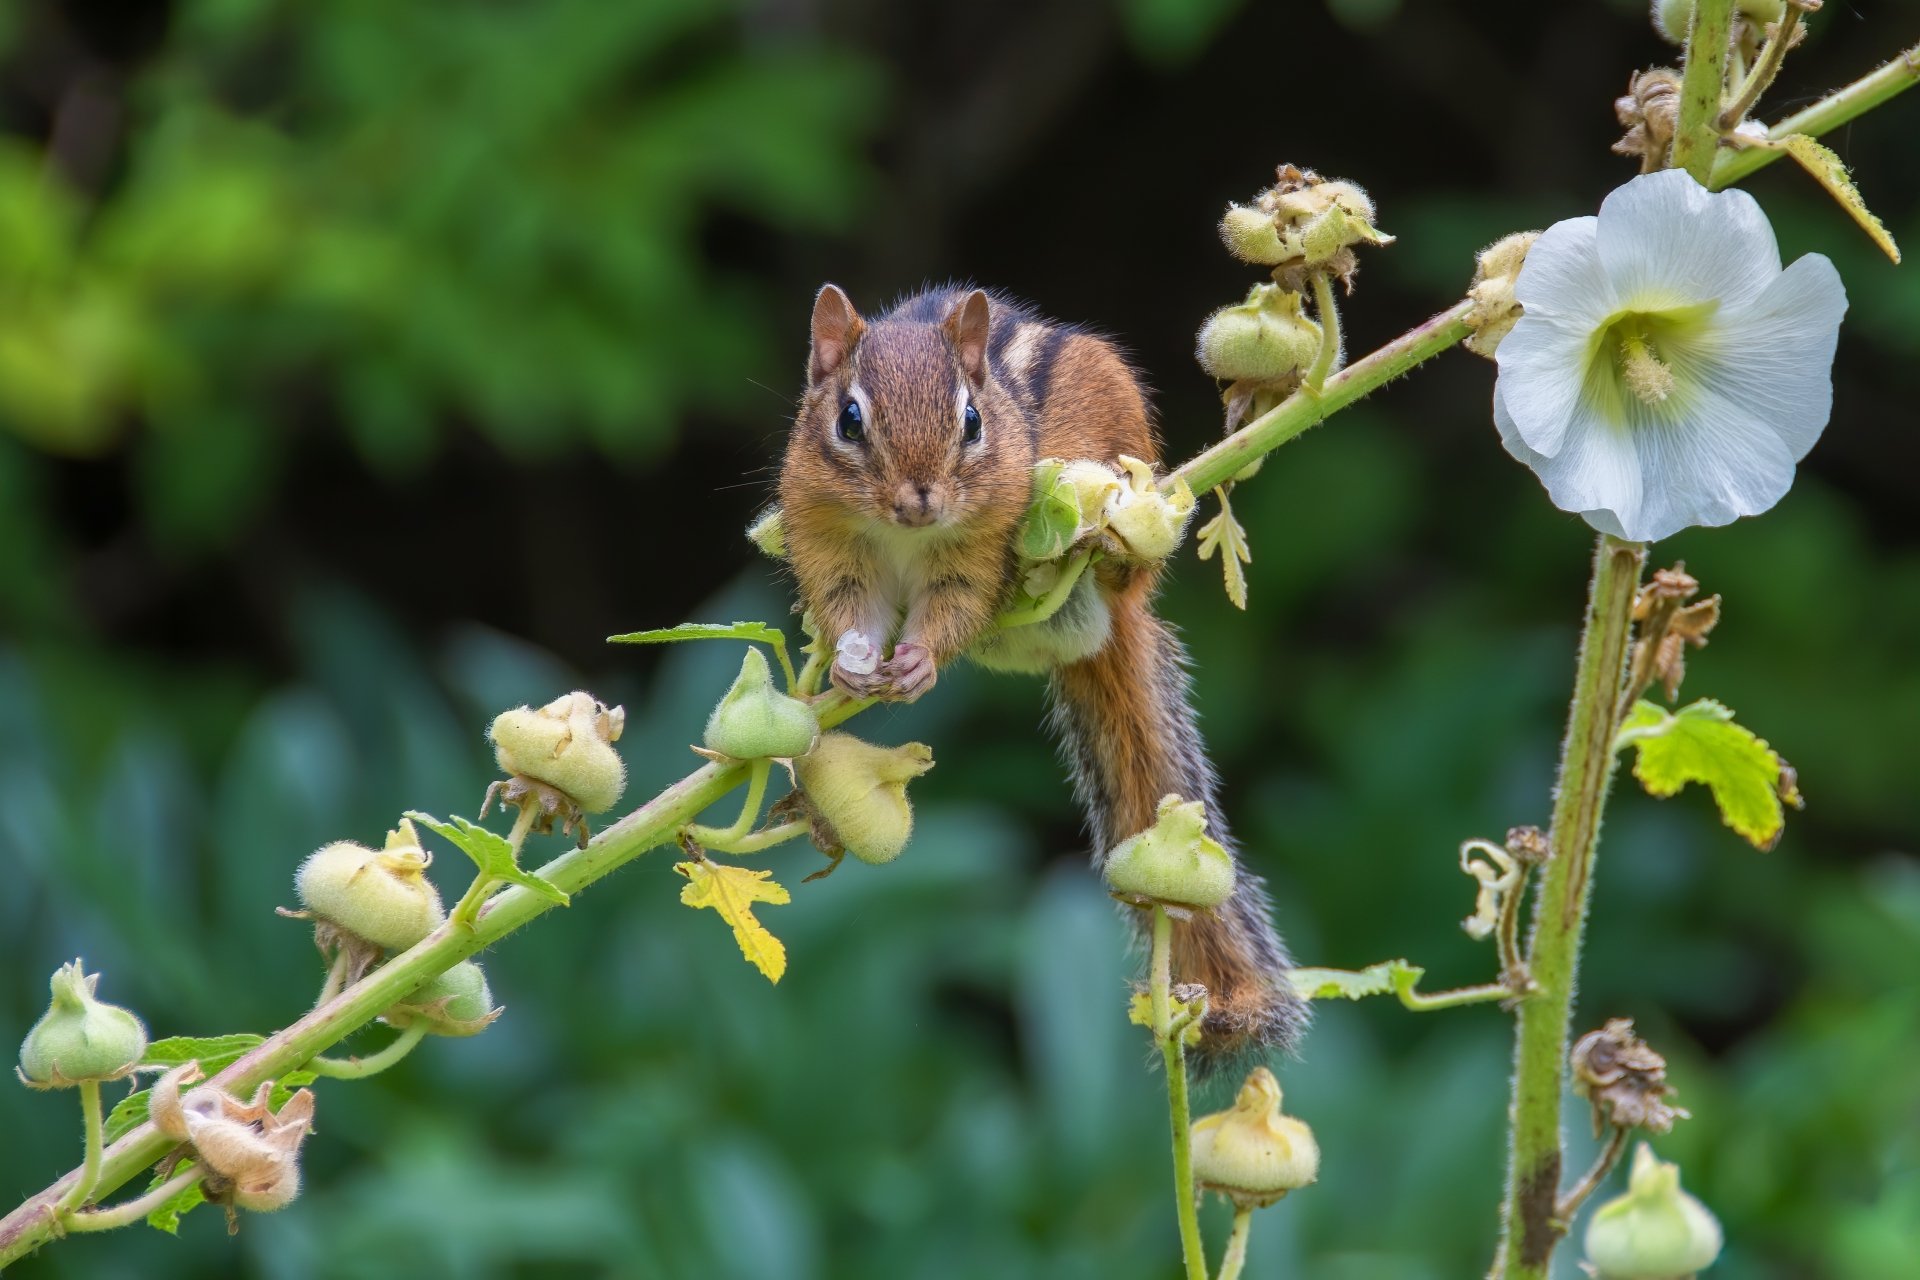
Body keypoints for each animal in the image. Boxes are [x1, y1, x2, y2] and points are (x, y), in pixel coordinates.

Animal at [778, 283, 1305, 1063]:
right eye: (848, 420)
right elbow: (849, 612)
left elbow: (957, 606)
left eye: (971, 421)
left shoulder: (978, 552)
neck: (902, 536)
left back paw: (1103, 550)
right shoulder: (829, 543)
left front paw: (920, 661)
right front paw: (849, 668)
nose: (919, 499)